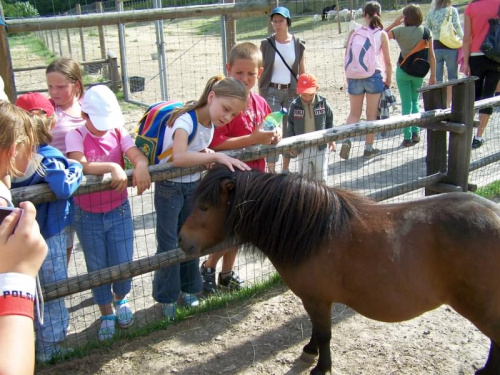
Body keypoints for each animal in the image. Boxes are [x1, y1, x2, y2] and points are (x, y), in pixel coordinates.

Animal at [180, 167, 500, 375]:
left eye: (205, 207)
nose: (182, 241)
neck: (312, 231)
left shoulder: (318, 299)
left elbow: (324, 334)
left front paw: (322, 367)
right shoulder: (313, 300)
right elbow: (314, 328)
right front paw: (309, 351)